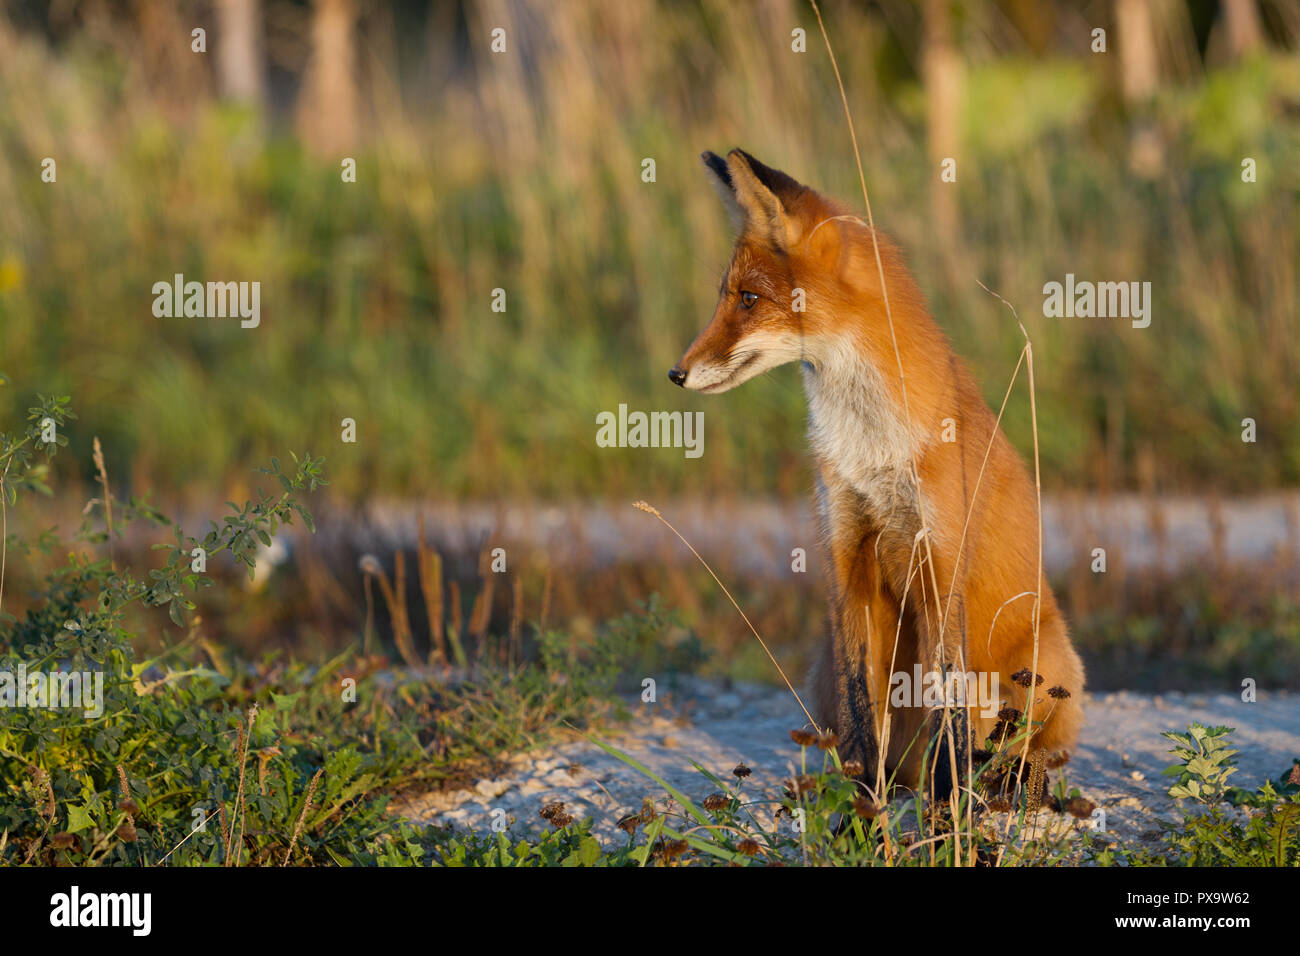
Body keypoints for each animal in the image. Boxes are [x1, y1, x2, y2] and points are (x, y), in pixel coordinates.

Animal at [670, 147, 1086, 790]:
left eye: (747, 299)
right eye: (726, 295)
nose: (676, 373)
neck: (869, 449)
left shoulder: (939, 559)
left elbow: (948, 707)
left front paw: (948, 802)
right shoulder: (847, 556)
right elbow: (861, 710)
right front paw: (862, 799)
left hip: (1044, 670)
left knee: (1029, 745)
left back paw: (1007, 783)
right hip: (822, 668)